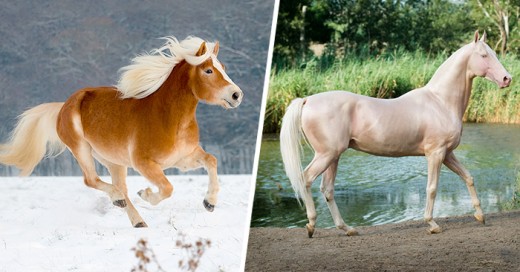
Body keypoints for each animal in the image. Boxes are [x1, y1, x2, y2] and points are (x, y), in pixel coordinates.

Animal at [0, 36, 244, 227]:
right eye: (208, 70)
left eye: (223, 67)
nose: (236, 95)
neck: (171, 119)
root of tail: (63, 106)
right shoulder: (144, 164)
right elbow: (167, 188)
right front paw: (146, 194)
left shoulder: (182, 159)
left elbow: (211, 161)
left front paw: (209, 203)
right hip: (81, 149)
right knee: (92, 180)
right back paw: (120, 202)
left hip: (114, 161)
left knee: (119, 187)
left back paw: (137, 220)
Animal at [280, 30, 512, 237]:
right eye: (484, 55)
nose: (506, 79)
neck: (440, 101)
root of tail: (307, 100)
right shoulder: (435, 154)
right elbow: (432, 188)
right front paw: (432, 224)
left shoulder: (447, 154)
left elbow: (469, 177)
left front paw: (480, 216)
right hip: (326, 155)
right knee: (306, 179)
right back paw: (311, 225)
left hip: (333, 157)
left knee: (327, 190)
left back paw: (348, 229)